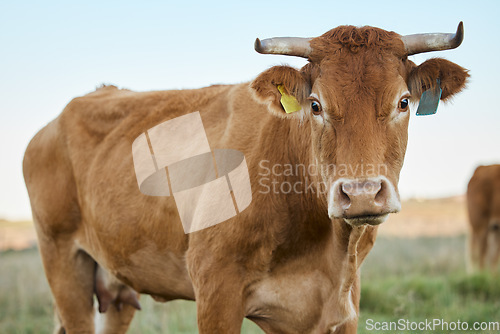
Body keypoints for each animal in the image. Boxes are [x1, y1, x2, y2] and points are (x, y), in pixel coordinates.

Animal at [23, 24, 468, 334]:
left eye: (403, 102)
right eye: (316, 104)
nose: (361, 194)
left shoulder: (342, 307)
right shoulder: (216, 293)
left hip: (113, 287)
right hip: (63, 261)